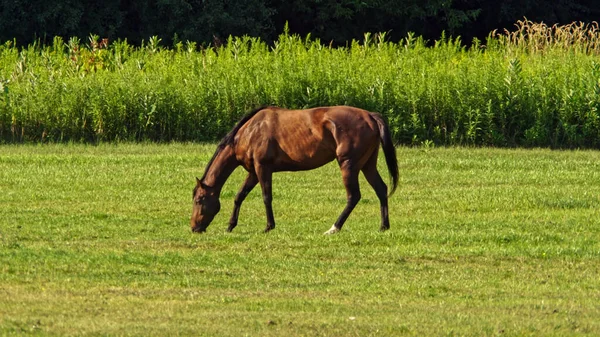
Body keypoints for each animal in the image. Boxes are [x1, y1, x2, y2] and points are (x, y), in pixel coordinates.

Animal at [191, 105, 398, 234]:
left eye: (199, 200)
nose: (194, 227)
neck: (248, 132)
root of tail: (370, 116)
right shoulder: (253, 172)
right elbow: (239, 196)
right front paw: (230, 226)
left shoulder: (262, 168)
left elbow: (266, 197)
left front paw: (269, 226)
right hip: (367, 165)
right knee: (381, 189)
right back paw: (383, 226)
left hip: (349, 165)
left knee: (353, 196)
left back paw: (334, 228)